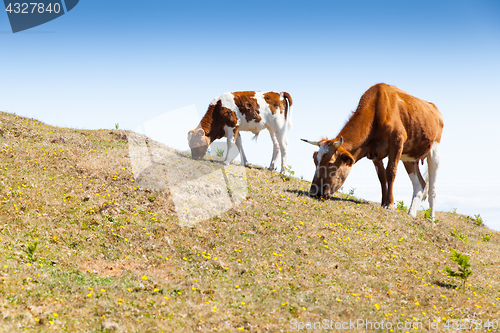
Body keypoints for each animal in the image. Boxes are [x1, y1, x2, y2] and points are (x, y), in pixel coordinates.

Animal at [300, 82, 446, 218]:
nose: (314, 192)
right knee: (420, 184)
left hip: (435, 151)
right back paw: (411, 213)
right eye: (315, 161)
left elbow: (390, 172)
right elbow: (381, 176)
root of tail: (434, 108)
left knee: (432, 187)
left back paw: (431, 218)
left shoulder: (397, 141)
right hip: (409, 157)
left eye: (330, 163)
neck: (376, 112)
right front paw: (383, 203)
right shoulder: (375, 153)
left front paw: (390, 204)